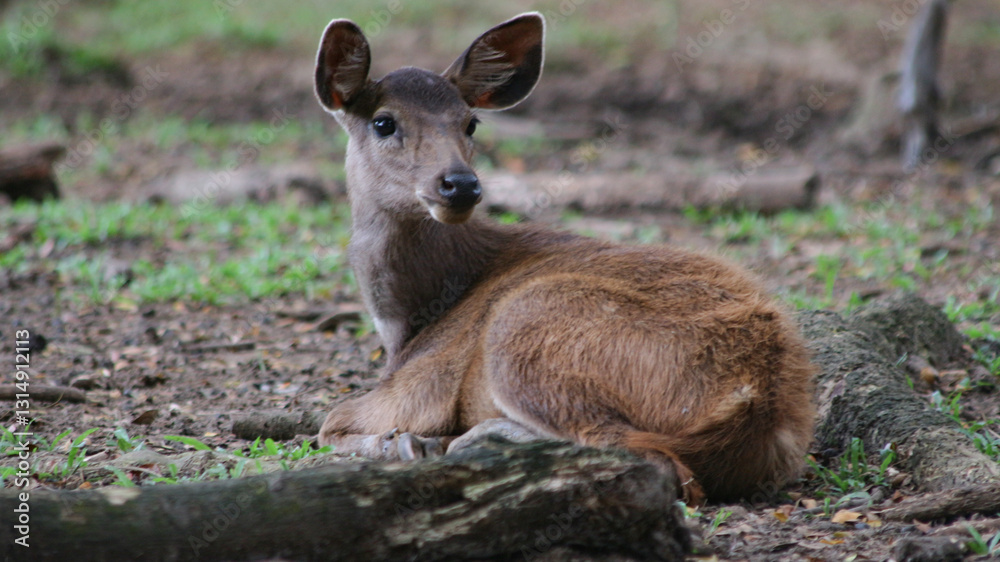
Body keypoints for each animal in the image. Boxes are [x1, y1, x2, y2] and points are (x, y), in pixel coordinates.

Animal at [312, 11, 816, 502]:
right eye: (384, 122)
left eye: (470, 122)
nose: (460, 184)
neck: (408, 323)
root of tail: (752, 398)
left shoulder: (422, 384)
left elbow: (329, 423)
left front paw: (404, 442)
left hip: (525, 330)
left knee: (650, 460)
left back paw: (469, 440)